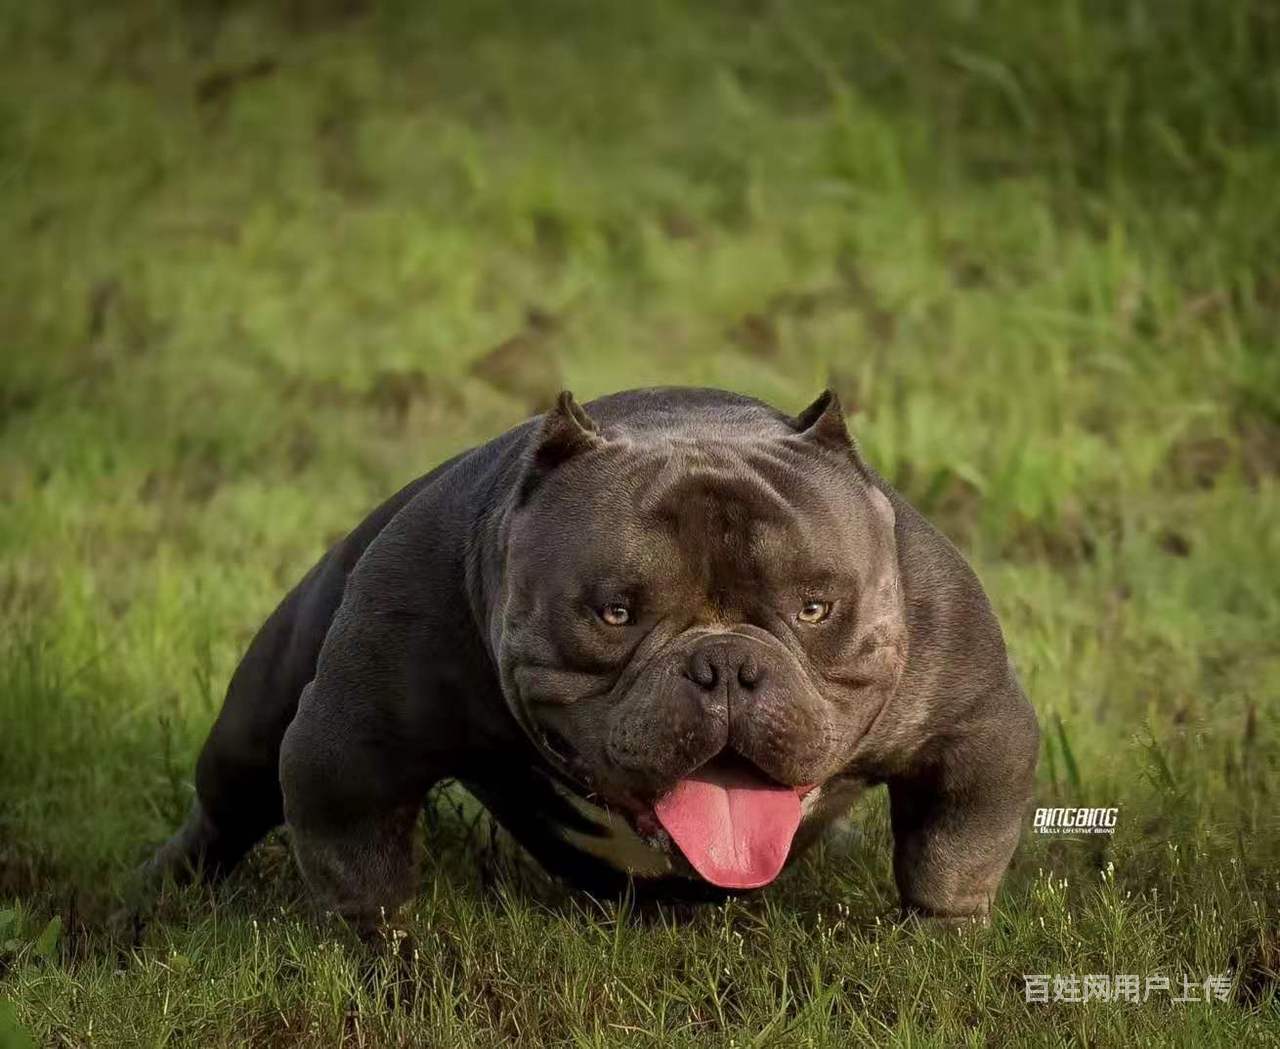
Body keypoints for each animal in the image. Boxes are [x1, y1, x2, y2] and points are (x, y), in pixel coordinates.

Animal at [145, 386, 1039, 926]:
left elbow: (950, 855)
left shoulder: (975, 732)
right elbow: (363, 885)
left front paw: (942, 941)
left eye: (814, 608)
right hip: (257, 723)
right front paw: (384, 967)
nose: (725, 666)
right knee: (222, 811)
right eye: (615, 613)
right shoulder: (353, 749)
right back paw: (149, 905)